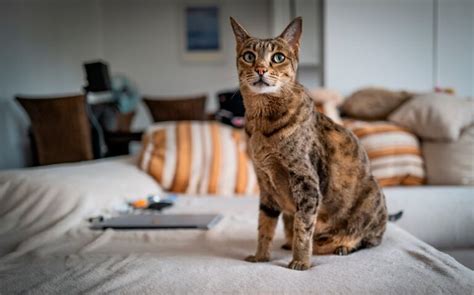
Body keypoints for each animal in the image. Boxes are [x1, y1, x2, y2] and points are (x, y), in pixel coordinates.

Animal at [230, 15, 388, 270]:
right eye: (249, 56)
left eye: (278, 57)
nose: (261, 69)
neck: (262, 125)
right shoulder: (265, 184)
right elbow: (264, 225)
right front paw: (261, 256)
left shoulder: (306, 182)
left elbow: (303, 228)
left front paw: (301, 261)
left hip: (373, 197)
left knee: (369, 238)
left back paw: (344, 246)